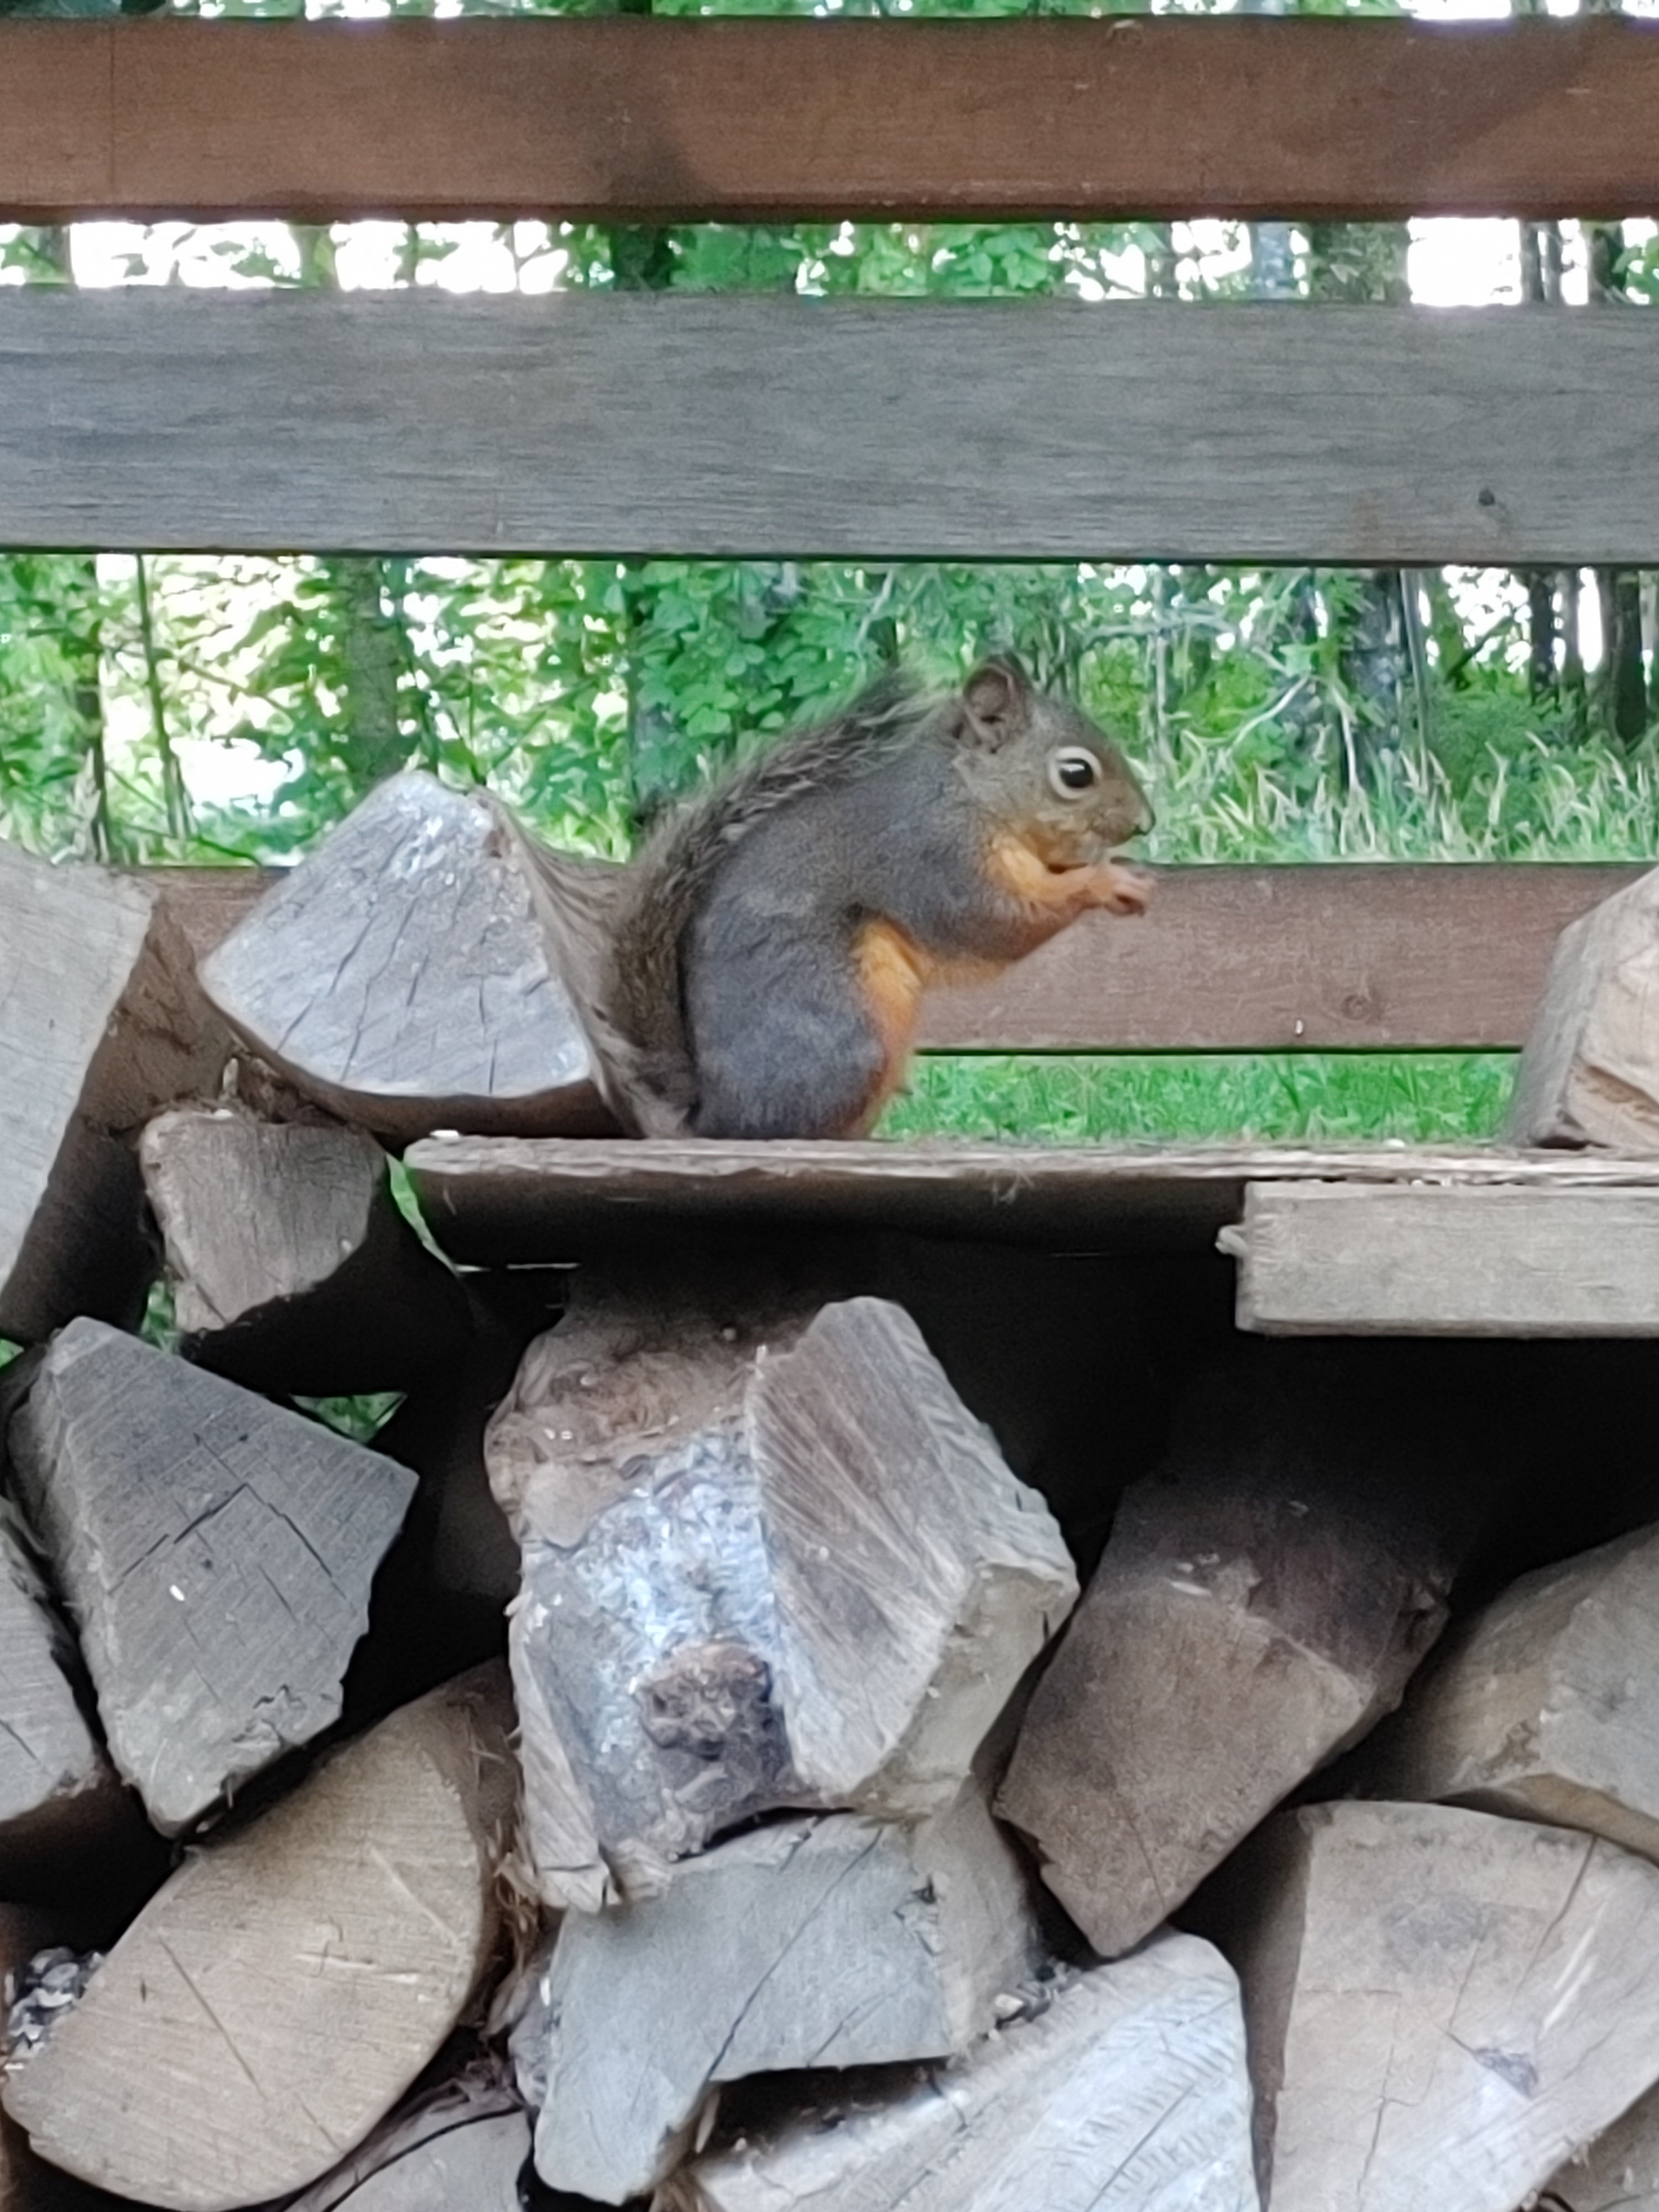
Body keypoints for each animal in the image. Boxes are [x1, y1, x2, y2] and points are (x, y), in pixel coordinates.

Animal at [597, 655, 1159, 1141]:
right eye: (1076, 774)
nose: (1145, 823)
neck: (968, 791)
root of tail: (711, 1114)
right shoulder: (936, 856)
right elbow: (996, 920)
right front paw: (1104, 881)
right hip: (847, 1035)